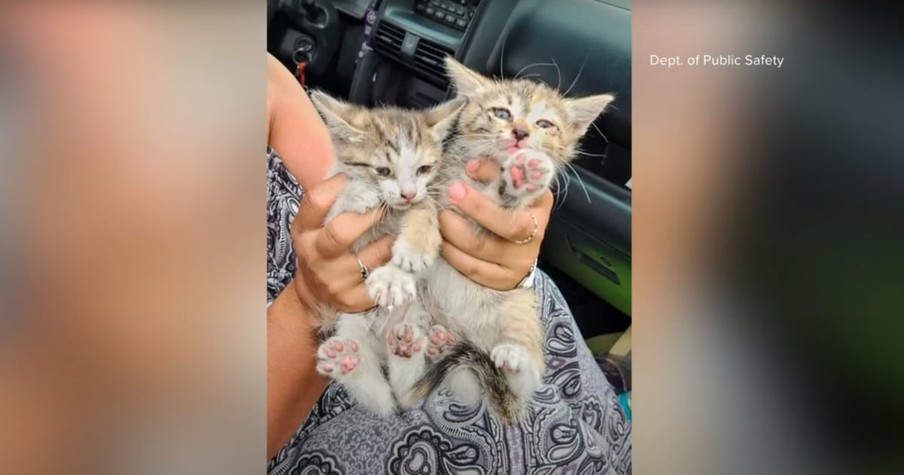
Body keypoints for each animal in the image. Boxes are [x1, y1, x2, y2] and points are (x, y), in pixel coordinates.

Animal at [408, 58, 616, 424]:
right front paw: (416, 239)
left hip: (519, 308)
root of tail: (464, 331)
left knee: (520, 380)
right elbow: (421, 203)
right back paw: (433, 342)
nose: (520, 133)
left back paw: (512, 358)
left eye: (545, 123)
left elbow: (506, 200)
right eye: (502, 113)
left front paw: (523, 178)